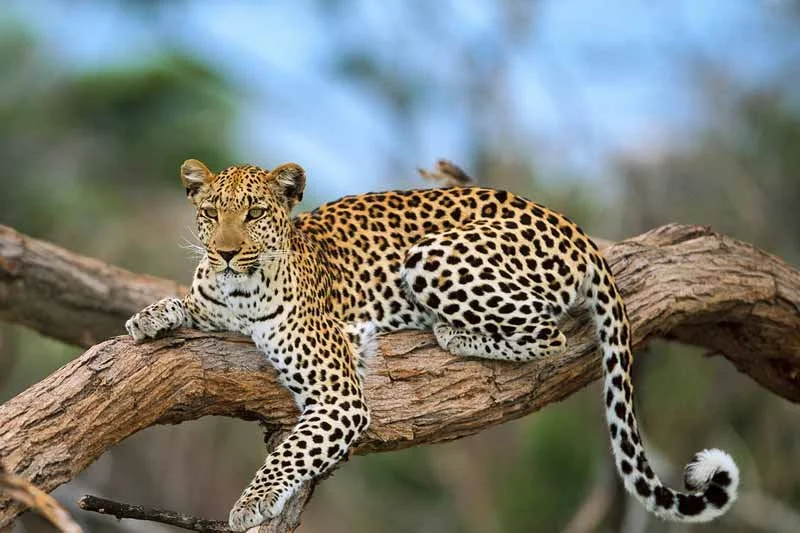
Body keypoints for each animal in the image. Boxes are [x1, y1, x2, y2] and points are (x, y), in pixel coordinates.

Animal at [126, 159, 739, 530]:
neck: (241, 292)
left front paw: (250, 502)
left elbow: (289, 452)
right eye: (211, 214)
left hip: (434, 255)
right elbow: (190, 301)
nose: (227, 252)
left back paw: (451, 331)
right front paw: (148, 317)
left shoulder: (340, 398)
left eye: (254, 213)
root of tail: (576, 230)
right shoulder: (215, 300)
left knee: (551, 333)